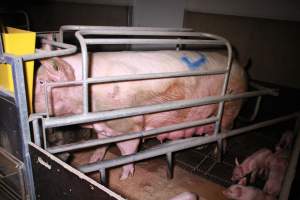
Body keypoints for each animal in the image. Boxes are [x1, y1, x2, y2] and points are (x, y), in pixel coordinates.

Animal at [34, 49, 246, 179]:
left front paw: (124, 176)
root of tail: (239, 66)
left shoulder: (129, 125)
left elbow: (128, 150)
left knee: (226, 131)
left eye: (42, 83)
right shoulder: (104, 126)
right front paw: (93, 160)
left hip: (231, 106)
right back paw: (202, 146)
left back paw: (218, 154)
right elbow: (102, 143)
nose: (32, 112)